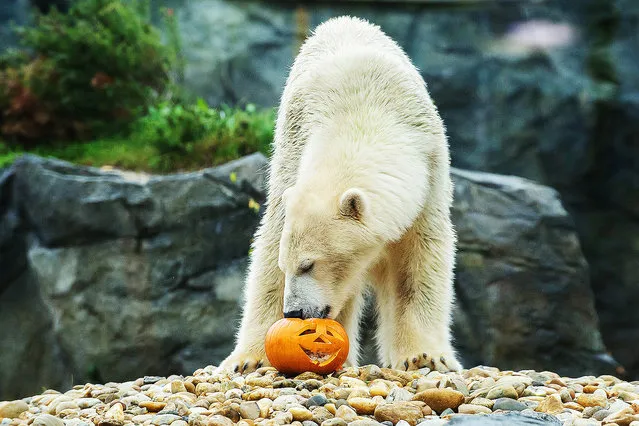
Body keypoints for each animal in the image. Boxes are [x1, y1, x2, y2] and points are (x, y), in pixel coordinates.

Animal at [219, 15, 460, 372]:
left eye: (309, 265)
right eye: (287, 265)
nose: (293, 311)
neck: (362, 111)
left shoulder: (429, 174)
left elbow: (419, 263)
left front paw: (426, 355)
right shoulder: (292, 150)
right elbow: (269, 246)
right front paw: (248, 358)